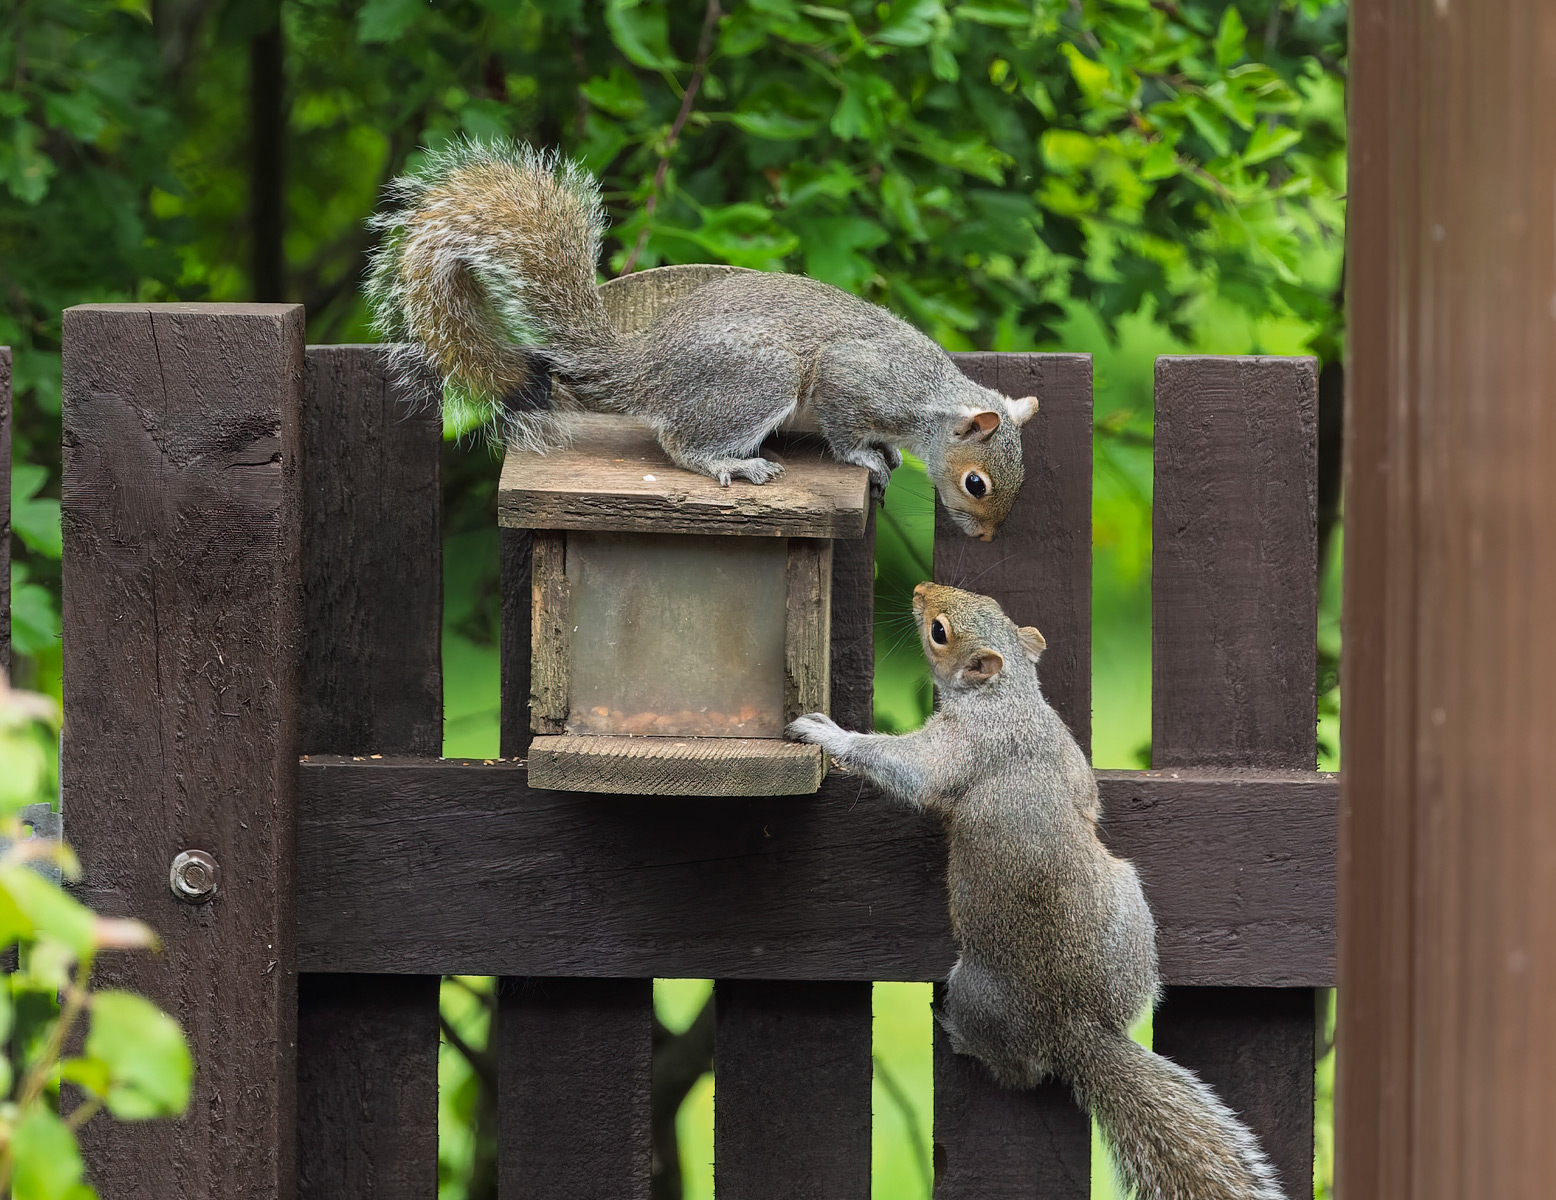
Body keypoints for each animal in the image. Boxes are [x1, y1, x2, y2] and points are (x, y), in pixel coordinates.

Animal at [365, 140, 1039, 539]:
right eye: (976, 483)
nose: (985, 535)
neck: (930, 398)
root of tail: (647, 366)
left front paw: (891, 456)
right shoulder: (855, 379)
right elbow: (847, 429)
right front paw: (868, 457)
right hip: (758, 380)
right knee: (680, 443)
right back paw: (730, 462)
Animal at [786, 583, 1285, 1200]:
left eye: (940, 631)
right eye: (988, 600)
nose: (921, 591)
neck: (1010, 698)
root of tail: (1077, 1028)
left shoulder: (959, 744)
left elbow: (912, 772)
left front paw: (828, 733)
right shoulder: (1065, 749)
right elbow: (1088, 796)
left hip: (979, 992)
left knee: (1016, 1071)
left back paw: (959, 1035)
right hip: (1130, 910)